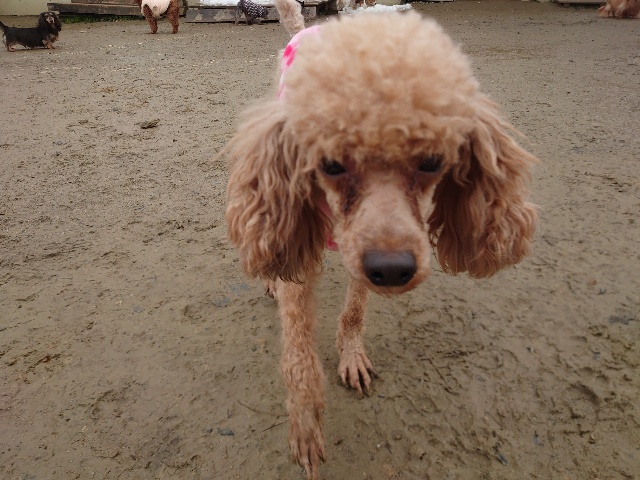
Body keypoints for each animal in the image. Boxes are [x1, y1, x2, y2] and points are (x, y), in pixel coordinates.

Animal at [224, 0, 538, 477]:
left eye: (433, 161)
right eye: (330, 164)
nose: (391, 271)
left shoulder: (364, 250)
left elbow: (355, 311)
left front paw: (351, 356)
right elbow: (299, 356)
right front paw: (305, 425)